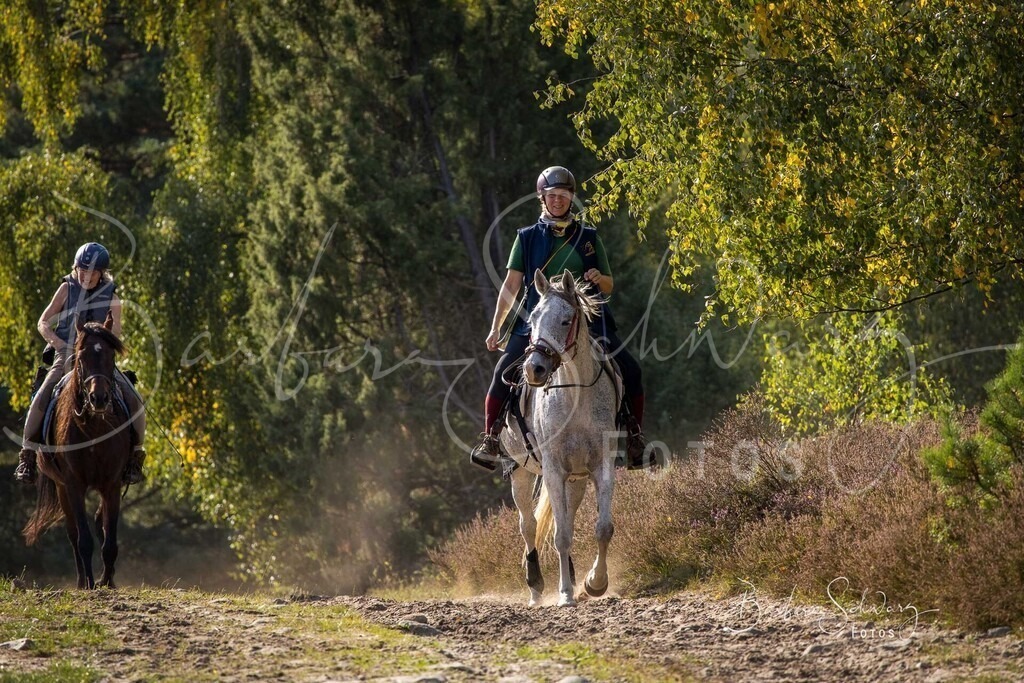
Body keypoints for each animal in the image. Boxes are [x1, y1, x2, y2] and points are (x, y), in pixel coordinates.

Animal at [22, 314, 132, 589]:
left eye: (111, 356)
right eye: (81, 356)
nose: (99, 399)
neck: (93, 428)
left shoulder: (112, 484)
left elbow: (109, 539)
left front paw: (108, 582)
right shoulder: (73, 484)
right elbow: (83, 539)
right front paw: (90, 584)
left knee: (99, 523)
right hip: (61, 487)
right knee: (73, 534)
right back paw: (82, 580)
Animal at [501, 269, 621, 607]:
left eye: (567, 320)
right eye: (533, 319)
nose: (534, 369)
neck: (575, 394)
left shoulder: (601, 466)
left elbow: (602, 528)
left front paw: (595, 582)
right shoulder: (553, 469)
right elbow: (561, 535)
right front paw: (565, 594)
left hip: (576, 479)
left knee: (564, 517)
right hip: (520, 471)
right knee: (528, 526)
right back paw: (536, 586)